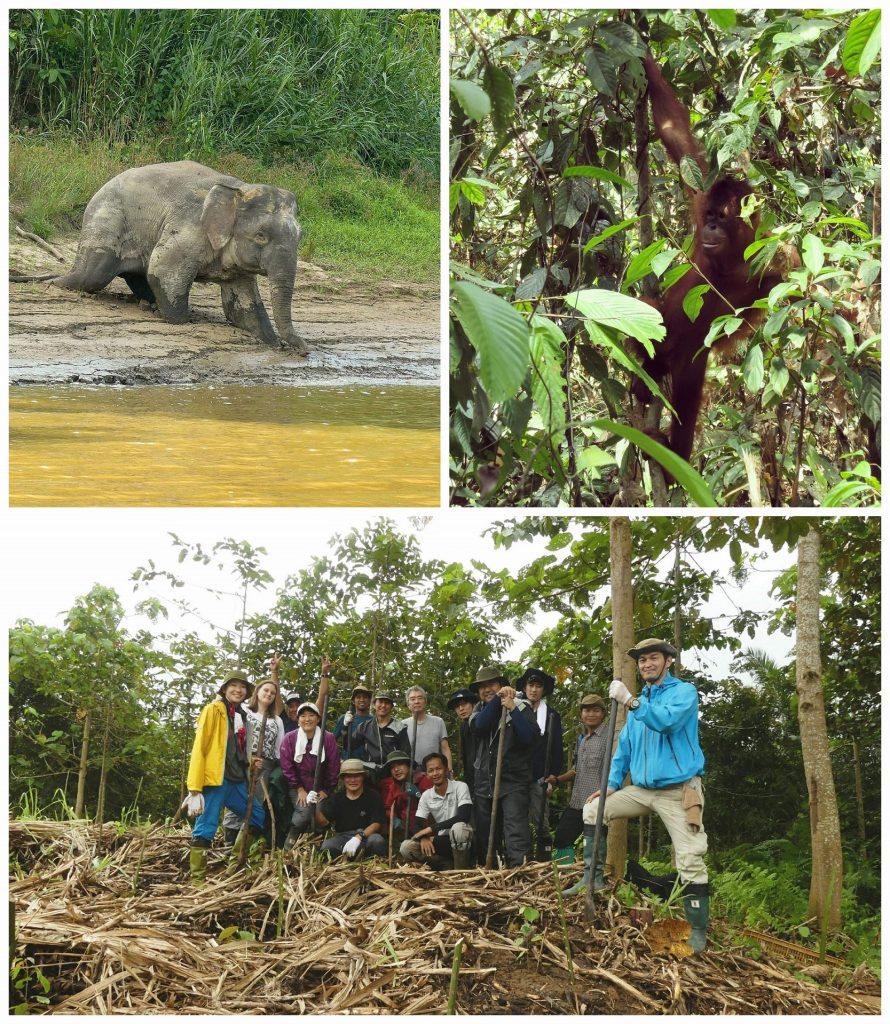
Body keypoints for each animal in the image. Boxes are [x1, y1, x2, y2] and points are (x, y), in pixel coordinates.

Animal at [48, 158, 307, 352]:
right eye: (261, 235)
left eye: (300, 236)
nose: (304, 349)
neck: (238, 189)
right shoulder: (189, 227)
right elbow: (162, 268)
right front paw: (181, 320)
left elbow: (243, 307)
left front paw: (271, 341)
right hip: (107, 218)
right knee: (93, 275)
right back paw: (53, 283)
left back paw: (148, 303)